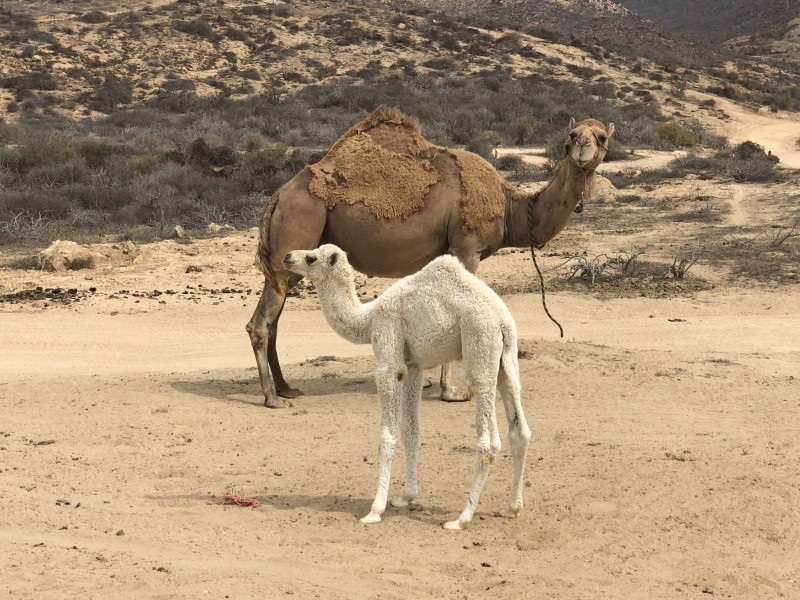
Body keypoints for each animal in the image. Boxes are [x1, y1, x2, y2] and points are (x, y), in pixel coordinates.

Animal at [247, 108, 616, 408]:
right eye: (571, 136)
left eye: (601, 137)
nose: (582, 148)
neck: (510, 206)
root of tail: (279, 194)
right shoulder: (467, 248)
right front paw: (452, 391)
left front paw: (425, 381)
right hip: (296, 234)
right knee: (261, 323)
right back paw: (272, 398)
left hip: (293, 259)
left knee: (272, 320)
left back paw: (286, 388)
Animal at [282, 244, 532, 528]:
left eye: (311, 258)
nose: (287, 257)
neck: (368, 318)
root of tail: (503, 322)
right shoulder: (414, 366)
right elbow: (411, 430)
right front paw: (406, 496)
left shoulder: (389, 359)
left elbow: (387, 435)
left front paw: (375, 510)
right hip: (506, 362)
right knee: (520, 430)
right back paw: (512, 508)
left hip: (480, 349)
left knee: (487, 442)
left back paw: (461, 519)